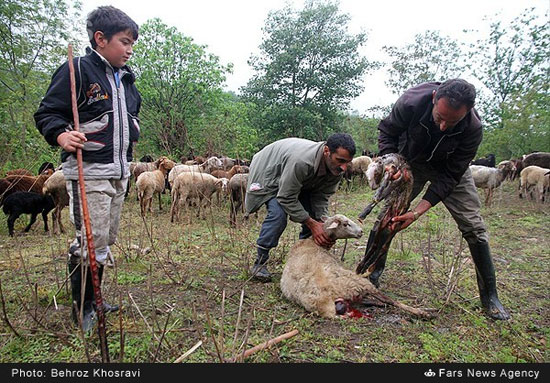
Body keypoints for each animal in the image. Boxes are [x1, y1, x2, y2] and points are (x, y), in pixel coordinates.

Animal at [282, 214, 438, 320]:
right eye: (345, 224)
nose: (361, 232)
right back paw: (424, 312)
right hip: (357, 283)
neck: (313, 243)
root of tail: (325, 302)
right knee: (388, 299)